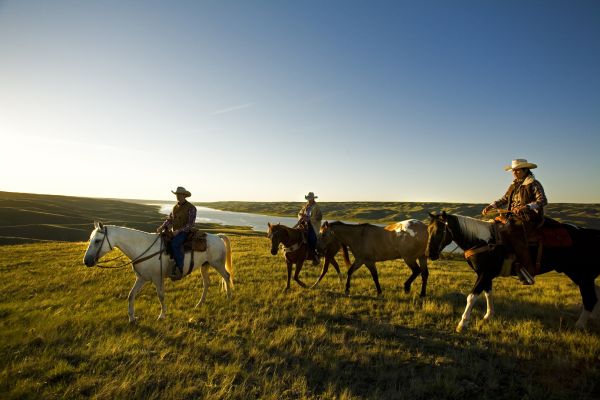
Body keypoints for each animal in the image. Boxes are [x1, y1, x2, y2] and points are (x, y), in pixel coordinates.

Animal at [83, 220, 233, 324]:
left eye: (97, 241)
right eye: (90, 239)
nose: (87, 261)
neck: (142, 248)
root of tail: (217, 236)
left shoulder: (157, 278)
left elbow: (161, 296)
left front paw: (162, 315)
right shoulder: (142, 278)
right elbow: (131, 295)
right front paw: (132, 318)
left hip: (217, 264)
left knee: (226, 276)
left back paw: (228, 298)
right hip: (205, 266)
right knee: (206, 283)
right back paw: (199, 304)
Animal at [426, 212, 600, 332]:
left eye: (439, 231)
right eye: (428, 229)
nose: (430, 254)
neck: (482, 241)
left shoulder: (484, 274)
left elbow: (471, 297)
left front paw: (462, 324)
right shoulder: (486, 274)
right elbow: (488, 293)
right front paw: (488, 316)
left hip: (582, 275)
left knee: (590, 298)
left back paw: (580, 325)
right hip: (580, 275)